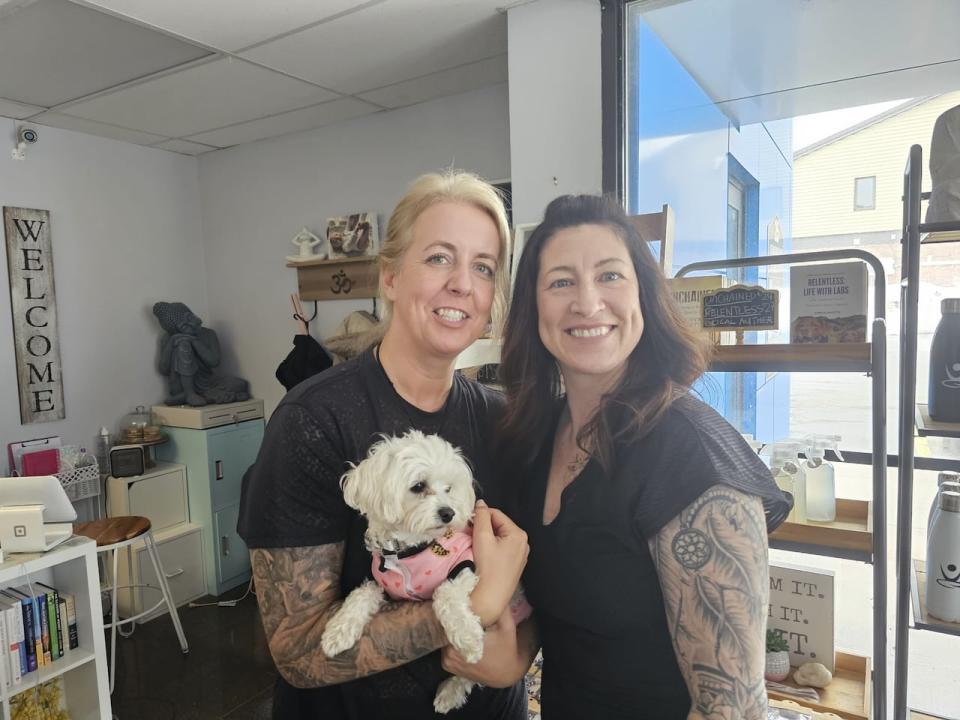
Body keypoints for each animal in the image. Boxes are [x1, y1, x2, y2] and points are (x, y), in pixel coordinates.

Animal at [318, 430, 528, 712]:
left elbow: (445, 594)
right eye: (418, 486)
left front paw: (468, 637)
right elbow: (361, 593)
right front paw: (338, 631)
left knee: (470, 676)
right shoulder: (385, 587)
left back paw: (449, 692)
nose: (449, 512)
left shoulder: (466, 565)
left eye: (449, 489)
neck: (406, 551)